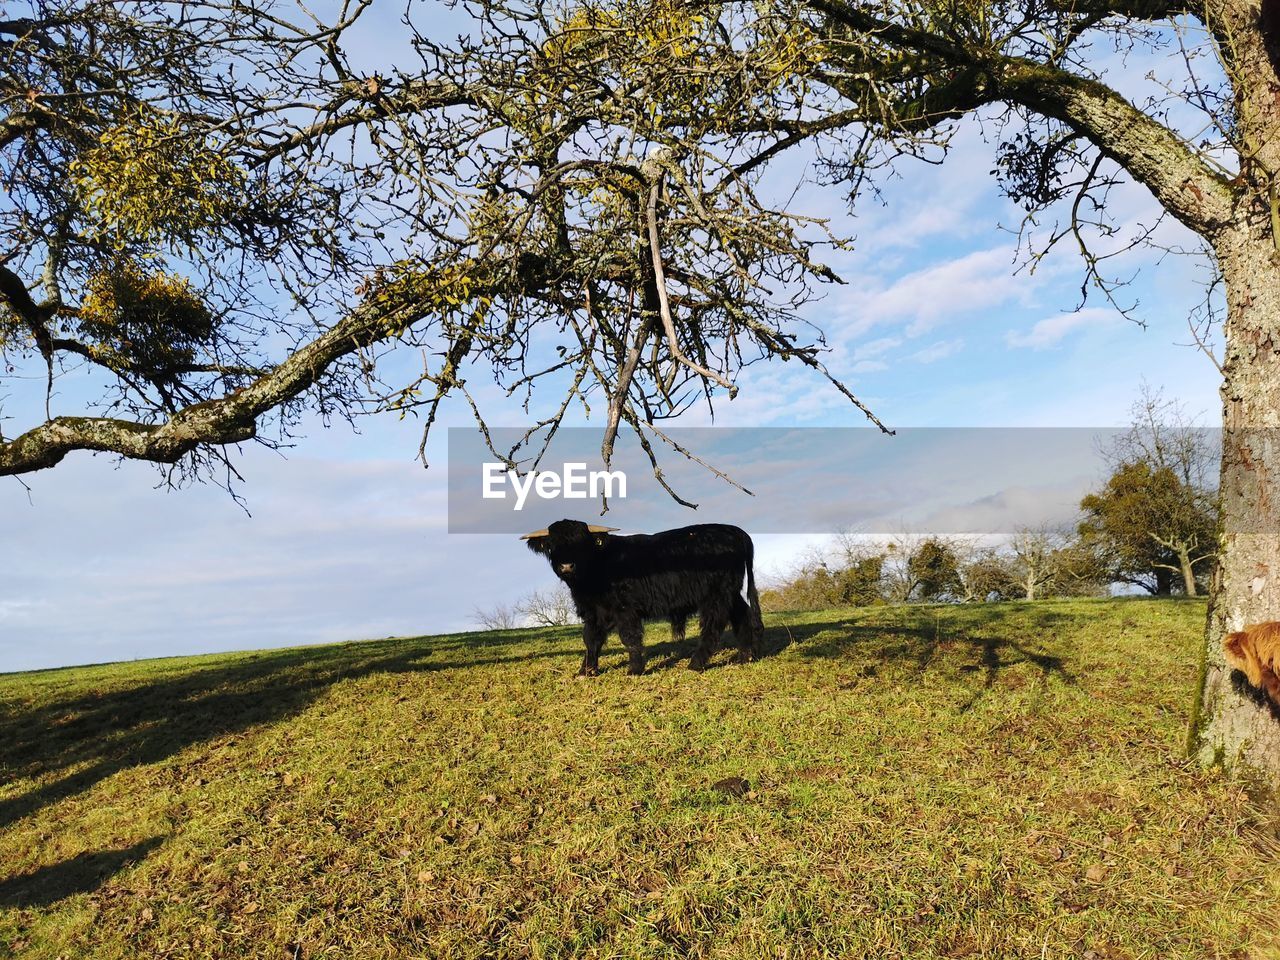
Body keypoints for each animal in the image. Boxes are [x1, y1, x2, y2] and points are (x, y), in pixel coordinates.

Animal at [519, 519, 757, 675]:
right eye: (552, 545)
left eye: (582, 543)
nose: (567, 566)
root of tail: (734, 531)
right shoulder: (594, 612)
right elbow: (591, 639)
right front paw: (585, 670)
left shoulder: (625, 609)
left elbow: (630, 638)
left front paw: (634, 669)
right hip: (730, 592)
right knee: (742, 615)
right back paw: (746, 656)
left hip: (715, 595)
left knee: (713, 625)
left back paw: (696, 664)